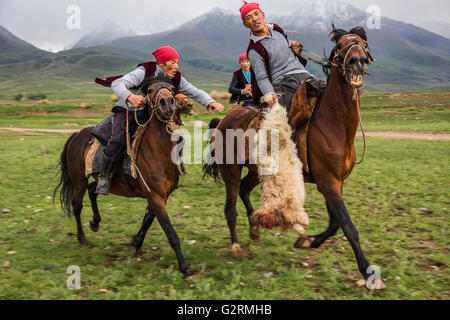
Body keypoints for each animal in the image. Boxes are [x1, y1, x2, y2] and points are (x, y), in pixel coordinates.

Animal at [53, 80, 195, 278]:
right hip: (78, 180)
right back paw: (82, 239)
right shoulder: (156, 196)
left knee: (93, 190)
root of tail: (76, 135)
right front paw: (184, 267)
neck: (159, 151)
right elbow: (171, 233)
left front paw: (136, 244)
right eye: (149, 90)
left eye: (173, 89)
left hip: (99, 180)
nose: (167, 102)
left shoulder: (159, 196)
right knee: (77, 205)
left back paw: (95, 223)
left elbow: (147, 221)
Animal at [204, 25, 384, 284]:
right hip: (230, 171)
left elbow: (334, 223)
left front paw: (306, 241)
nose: (358, 61)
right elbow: (347, 225)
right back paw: (237, 247)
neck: (334, 122)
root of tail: (223, 121)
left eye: (363, 43)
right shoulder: (328, 182)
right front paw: (367, 271)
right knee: (230, 208)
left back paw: (255, 226)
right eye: (340, 45)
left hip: (255, 170)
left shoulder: (335, 182)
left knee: (245, 191)